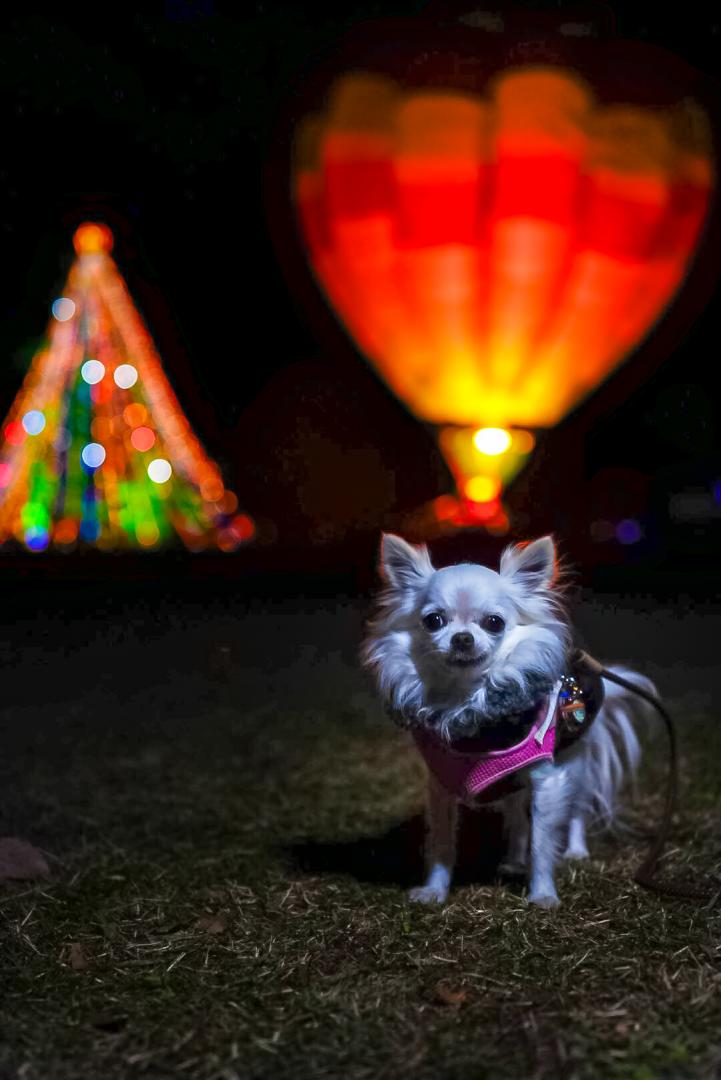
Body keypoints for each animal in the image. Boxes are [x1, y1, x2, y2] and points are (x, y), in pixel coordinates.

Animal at [360, 535, 651, 907]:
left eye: (494, 622)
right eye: (434, 621)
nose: (462, 637)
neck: (468, 703)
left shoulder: (548, 780)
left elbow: (542, 842)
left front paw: (542, 894)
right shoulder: (441, 786)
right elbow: (442, 843)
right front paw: (434, 890)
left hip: (575, 764)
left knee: (576, 811)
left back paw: (575, 850)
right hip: (510, 780)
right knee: (516, 815)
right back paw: (513, 860)